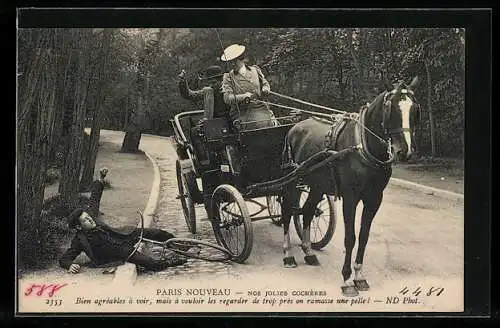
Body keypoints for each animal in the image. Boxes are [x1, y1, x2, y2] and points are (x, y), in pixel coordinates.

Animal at [280, 77, 420, 298]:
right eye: (391, 109)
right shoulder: (350, 198)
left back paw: (309, 252)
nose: (404, 151)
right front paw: (346, 280)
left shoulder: (374, 199)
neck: (364, 147)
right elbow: (350, 238)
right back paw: (288, 255)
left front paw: (359, 276)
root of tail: (294, 127)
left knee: (308, 211)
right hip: (293, 182)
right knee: (287, 212)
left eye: (414, 109)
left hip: (317, 185)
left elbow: (363, 236)